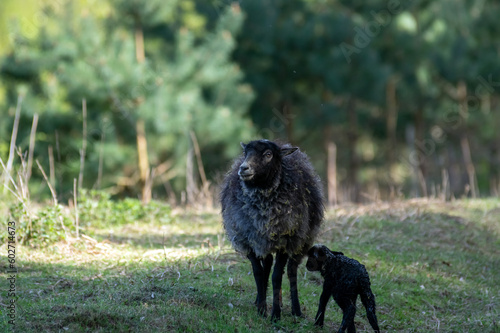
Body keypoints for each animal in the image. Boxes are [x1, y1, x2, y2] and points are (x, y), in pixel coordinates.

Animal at [220, 139, 324, 320]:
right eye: (246, 152)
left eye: (268, 154)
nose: (243, 168)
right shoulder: (248, 240)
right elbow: (258, 272)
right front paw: (262, 308)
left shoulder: (285, 240)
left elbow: (276, 276)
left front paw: (275, 314)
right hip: (264, 242)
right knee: (268, 264)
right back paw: (261, 299)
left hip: (300, 241)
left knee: (290, 271)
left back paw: (295, 309)